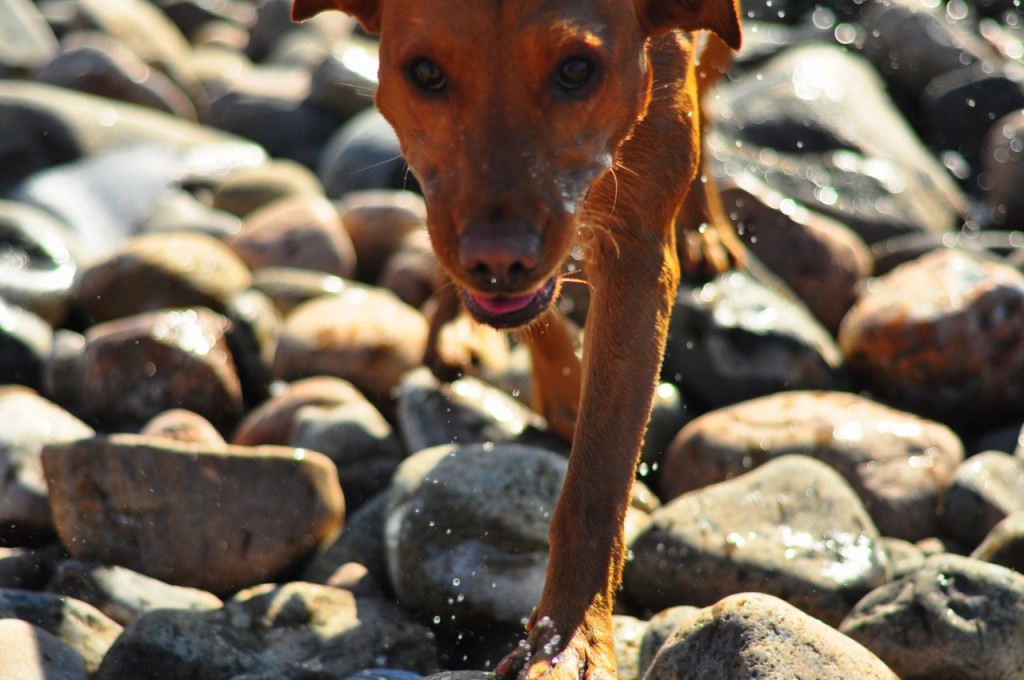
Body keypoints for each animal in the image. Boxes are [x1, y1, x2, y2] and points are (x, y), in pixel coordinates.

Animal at [292, 2, 741, 675]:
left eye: (577, 70)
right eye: (425, 73)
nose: (499, 260)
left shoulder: (636, 247)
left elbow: (595, 487)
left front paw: (569, 643)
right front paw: (561, 383)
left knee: (710, 89)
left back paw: (701, 225)